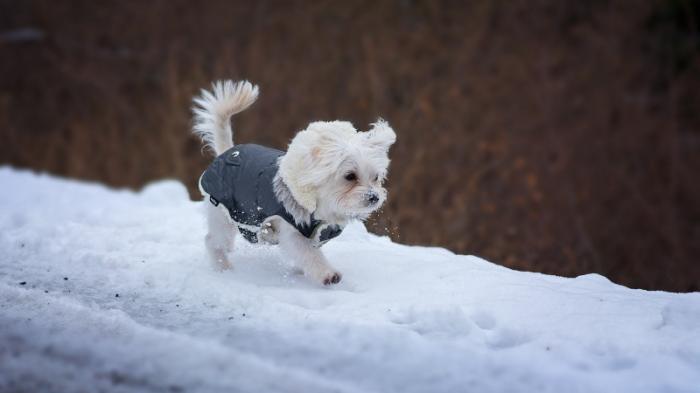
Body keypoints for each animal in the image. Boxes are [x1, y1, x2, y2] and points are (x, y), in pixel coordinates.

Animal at [191, 79, 396, 284]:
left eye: (376, 177)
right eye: (350, 176)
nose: (374, 197)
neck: (321, 207)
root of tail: (227, 152)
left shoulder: (316, 235)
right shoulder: (292, 231)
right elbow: (309, 254)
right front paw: (327, 273)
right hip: (223, 214)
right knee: (213, 241)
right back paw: (222, 267)